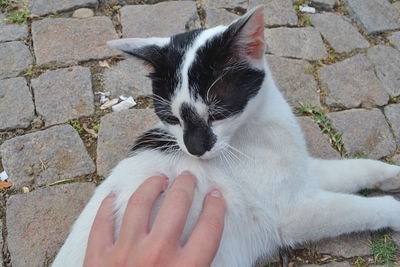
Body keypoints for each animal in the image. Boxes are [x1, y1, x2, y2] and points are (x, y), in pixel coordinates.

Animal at [53, 6, 400, 267]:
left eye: (217, 114)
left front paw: (392, 175)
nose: (194, 150)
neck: (260, 126)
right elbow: (362, 208)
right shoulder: (293, 211)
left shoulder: (304, 173)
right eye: (172, 119)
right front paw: (394, 210)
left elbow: (358, 168)